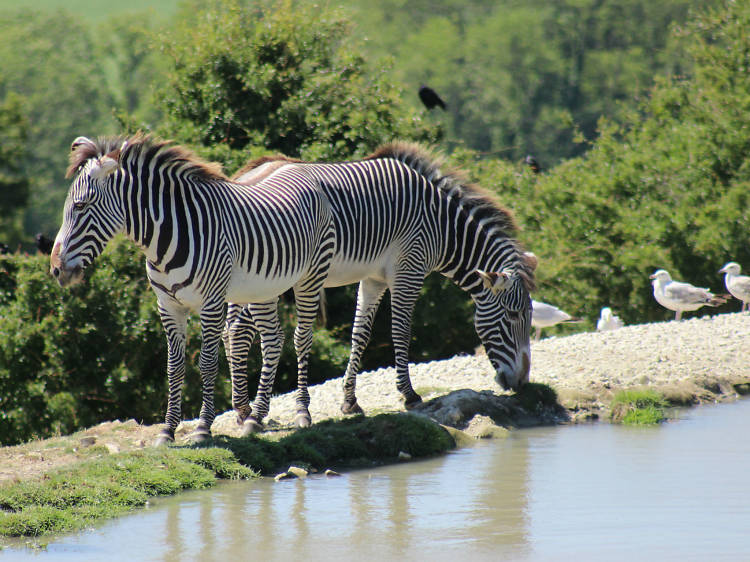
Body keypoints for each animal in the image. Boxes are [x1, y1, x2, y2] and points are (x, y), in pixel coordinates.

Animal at [48, 133, 336, 444]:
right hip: (264, 288)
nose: (55, 269)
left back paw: (302, 412)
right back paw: (256, 417)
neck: (165, 241)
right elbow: (174, 367)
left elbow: (208, 363)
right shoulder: (168, 306)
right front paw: (167, 429)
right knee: (272, 340)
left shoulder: (211, 303)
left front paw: (202, 427)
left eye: (80, 206)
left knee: (302, 338)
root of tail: (297, 167)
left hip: (312, 275)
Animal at [226, 142, 536, 430]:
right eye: (513, 316)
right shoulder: (409, 270)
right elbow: (401, 332)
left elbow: (360, 335)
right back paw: (250, 411)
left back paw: (243, 409)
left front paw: (350, 401)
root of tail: (247, 175)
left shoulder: (373, 278)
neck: (443, 227)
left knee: (233, 332)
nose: (522, 383)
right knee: (242, 332)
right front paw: (409, 395)